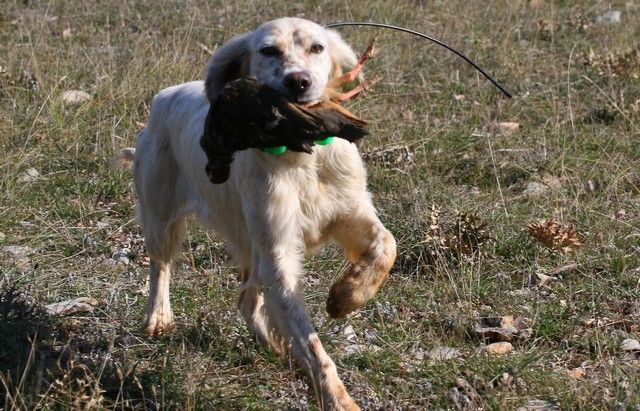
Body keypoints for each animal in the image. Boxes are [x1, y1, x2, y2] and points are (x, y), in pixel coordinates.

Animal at [125, 17, 396, 410]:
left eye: (317, 48)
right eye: (268, 50)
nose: (298, 81)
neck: (303, 156)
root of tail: (164, 96)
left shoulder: (349, 213)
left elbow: (386, 245)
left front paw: (347, 295)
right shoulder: (278, 252)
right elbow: (313, 346)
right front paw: (337, 397)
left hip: (251, 247)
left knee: (246, 300)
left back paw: (279, 348)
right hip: (162, 218)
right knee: (161, 266)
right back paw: (159, 316)